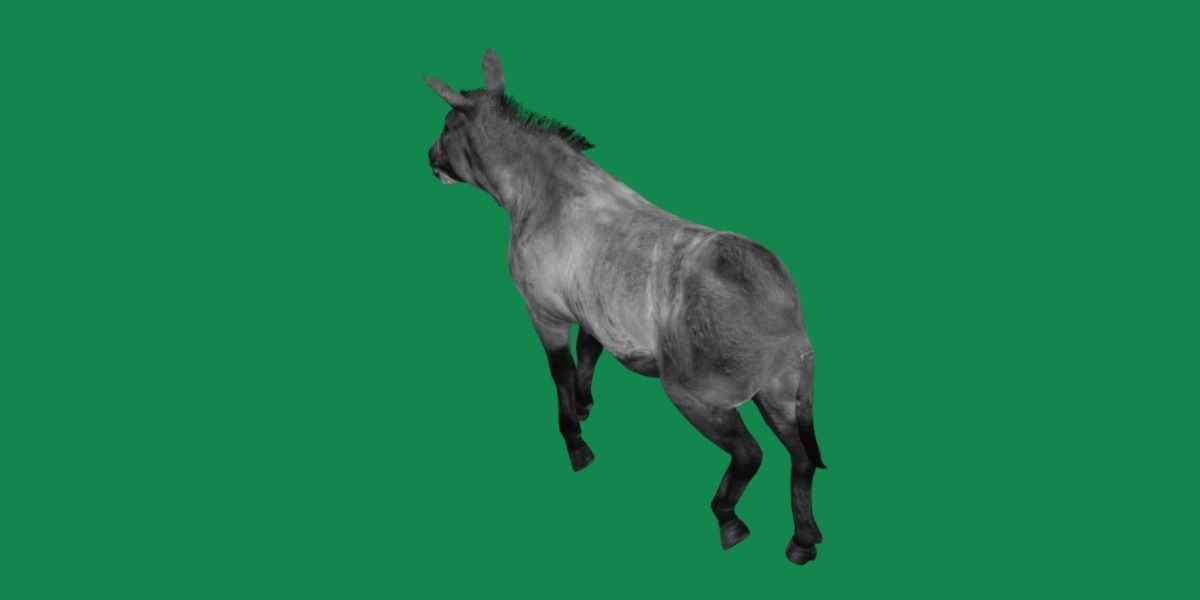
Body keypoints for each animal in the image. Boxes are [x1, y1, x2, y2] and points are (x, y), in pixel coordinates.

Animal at [425, 50, 826, 565]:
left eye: (447, 124)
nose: (430, 158)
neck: (541, 192)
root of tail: (785, 314)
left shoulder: (545, 313)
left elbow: (560, 371)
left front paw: (576, 442)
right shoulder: (594, 312)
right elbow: (590, 353)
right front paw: (585, 405)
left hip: (699, 398)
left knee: (750, 455)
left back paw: (729, 520)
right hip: (779, 392)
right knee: (801, 458)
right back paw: (802, 540)